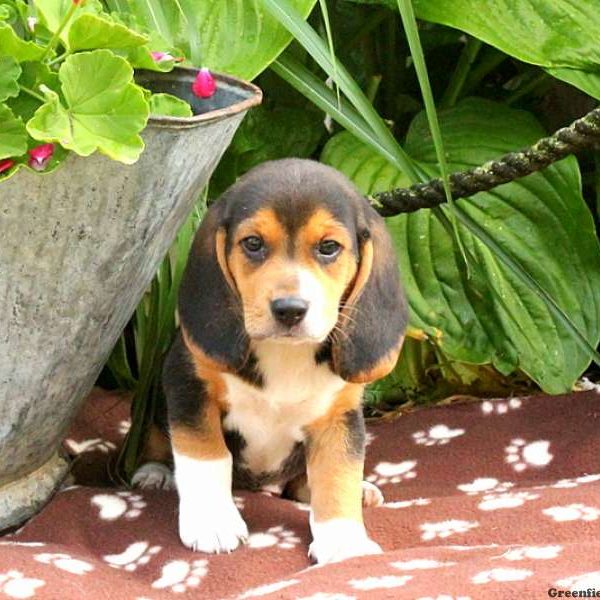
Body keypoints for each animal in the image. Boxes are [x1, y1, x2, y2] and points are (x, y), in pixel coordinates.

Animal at [135, 158, 408, 564]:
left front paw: (343, 541)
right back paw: (155, 474)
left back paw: (361, 491)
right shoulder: (189, 384)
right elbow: (207, 454)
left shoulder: (339, 416)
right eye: (253, 244)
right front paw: (212, 521)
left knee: (302, 486)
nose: (290, 309)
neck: (284, 352)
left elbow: (336, 475)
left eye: (329, 247)